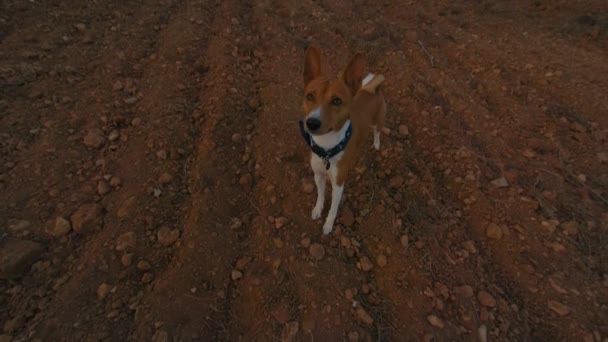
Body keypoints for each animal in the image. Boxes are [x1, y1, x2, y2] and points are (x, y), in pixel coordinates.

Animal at [302, 46, 388, 235]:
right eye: (310, 96)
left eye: (336, 101)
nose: (311, 123)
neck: (327, 148)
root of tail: (371, 90)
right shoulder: (318, 175)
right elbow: (320, 195)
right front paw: (318, 209)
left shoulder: (338, 184)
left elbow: (333, 209)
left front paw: (328, 224)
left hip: (378, 120)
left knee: (378, 131)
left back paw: (376, 144)